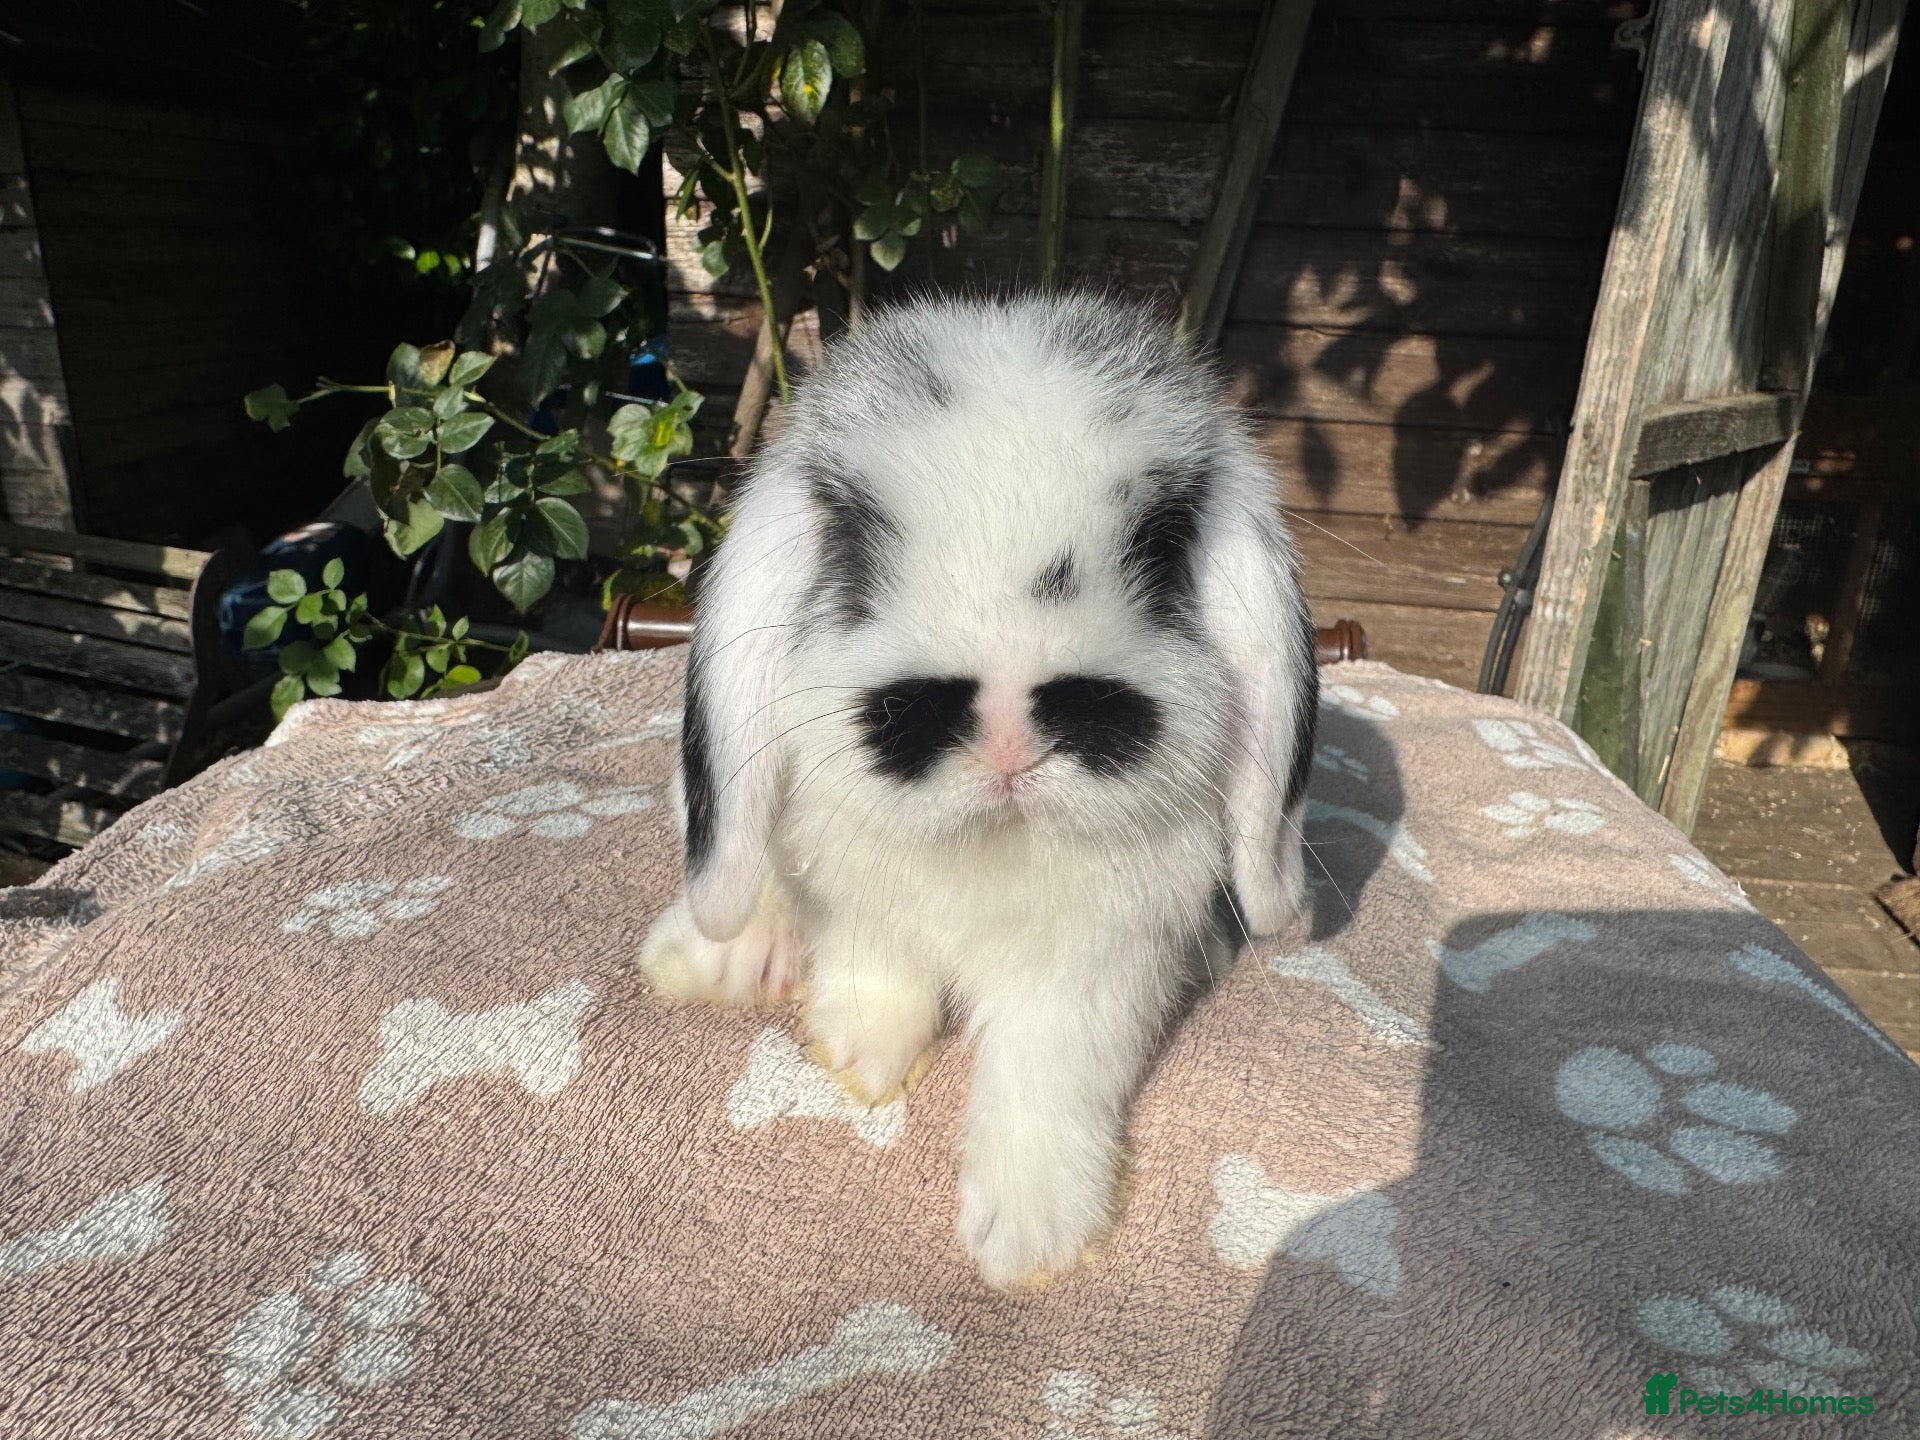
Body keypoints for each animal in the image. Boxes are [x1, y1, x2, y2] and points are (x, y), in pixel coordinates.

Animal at [639, 292, 1319, 1288]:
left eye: (1160, 545)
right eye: (854, 540)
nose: (1005, 731)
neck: (994, 842)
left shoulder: (1095, 966)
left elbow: (1047, 1071)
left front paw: (1034, 1238)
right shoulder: (860, 899)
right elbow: (875, 965)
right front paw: (856, 1054)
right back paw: (714, 956)